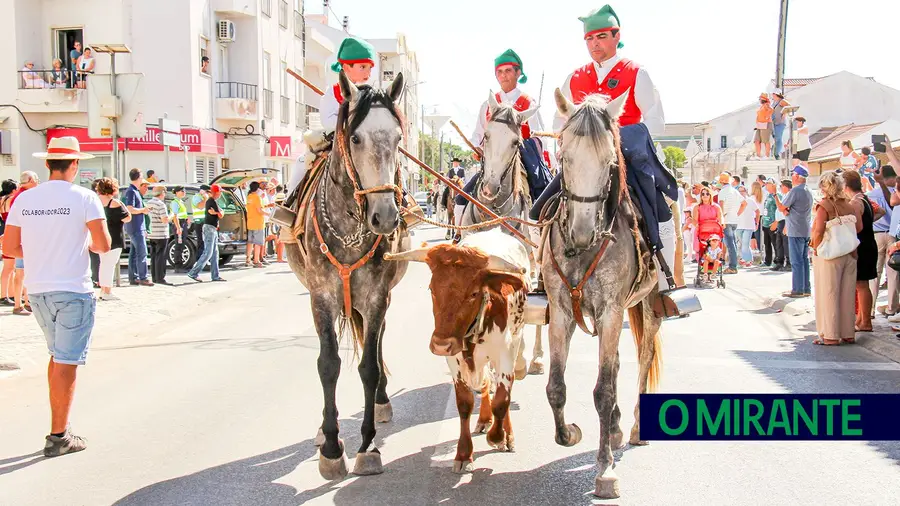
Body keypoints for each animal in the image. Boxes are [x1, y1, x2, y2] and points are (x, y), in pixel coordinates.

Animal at [286, 70, 410, 478]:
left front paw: (367, 445)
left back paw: (382, 400)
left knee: (378, 340)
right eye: (355, 138)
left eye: (399, 139)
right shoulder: (321, 296)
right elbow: (328, 365)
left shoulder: (376, 296)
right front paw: (330, 446)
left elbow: (368, 366)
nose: (385, 217)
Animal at [384, 230, 528, 474]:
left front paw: (498, 436)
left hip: (515, 340)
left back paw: (506, 434)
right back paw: (484, 419)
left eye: (474, 293)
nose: (441, 344)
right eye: (432, 289)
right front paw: (463, 453)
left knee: (502, 387)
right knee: (485, 383)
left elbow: (502, 398)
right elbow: (464, 403)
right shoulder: (455, 358)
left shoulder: (505, 351)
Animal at [540, 89, 660, 500]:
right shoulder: (561, 312)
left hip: (647, 304)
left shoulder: (611, 311)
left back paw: (636, 428)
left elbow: (603, 391)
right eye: (564, 157)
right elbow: (556, 387)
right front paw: (569, 433)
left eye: (609, 161)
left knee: (644, 353)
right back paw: (619, 427)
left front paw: (605, 469)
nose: (580, 233)